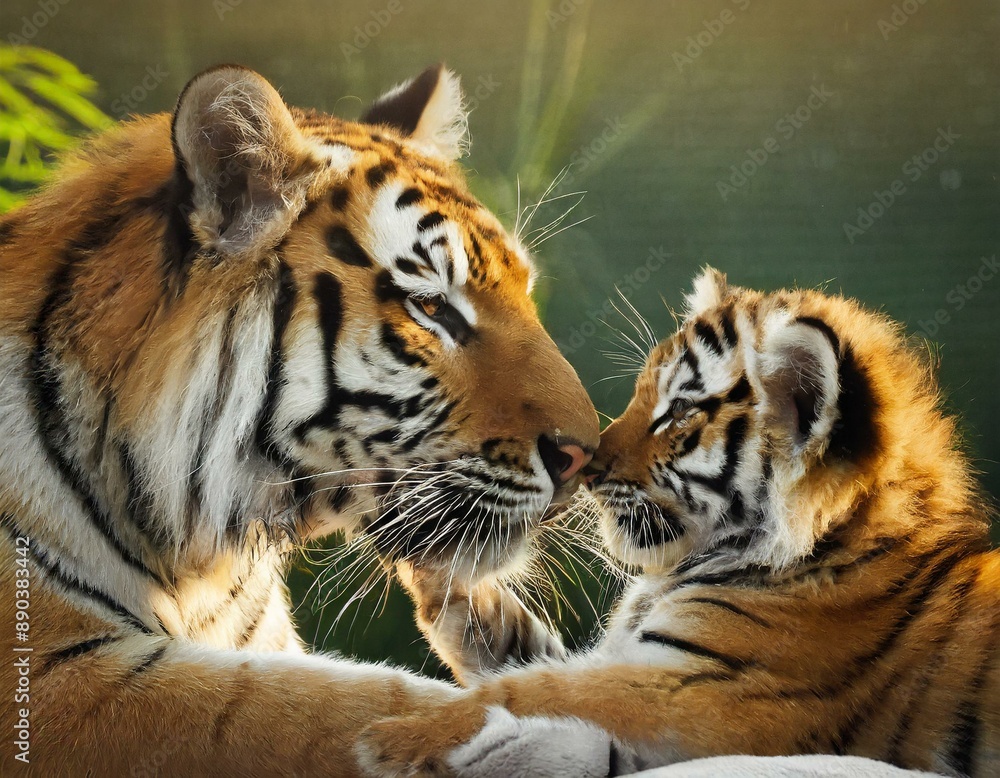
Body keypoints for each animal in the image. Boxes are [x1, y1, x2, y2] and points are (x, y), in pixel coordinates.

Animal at [0, 62, 600, 775]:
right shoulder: (59, 680)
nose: (586, 456)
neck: (199, 562)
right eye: (431, 308)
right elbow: (318, 706)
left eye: (526, 293)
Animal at [357, 267, 999, 778]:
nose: (588, 466)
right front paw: (422, 547)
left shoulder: (700, 691)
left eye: (680, 411)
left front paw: (392, 739)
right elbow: (505, 642)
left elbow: (532, 688)